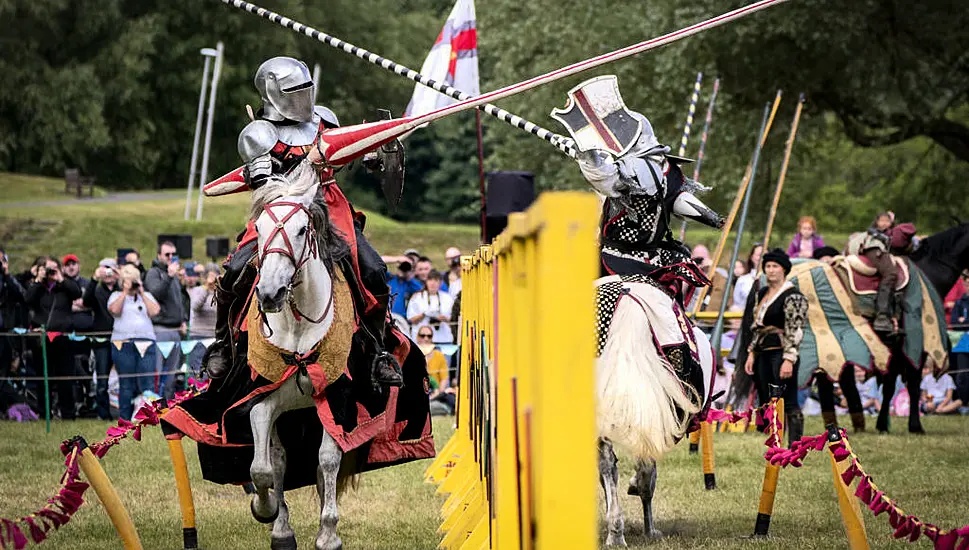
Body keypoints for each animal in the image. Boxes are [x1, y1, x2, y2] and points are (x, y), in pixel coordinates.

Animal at [248, 165, 354, 550]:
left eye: (300, 229)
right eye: (258, 229)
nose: (269, 293)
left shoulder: (334, 397)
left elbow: (328, 460)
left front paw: (328, 533)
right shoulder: (269, 396)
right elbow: (264, 467)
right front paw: (264, 510)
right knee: (279, 461)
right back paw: (281, 528)